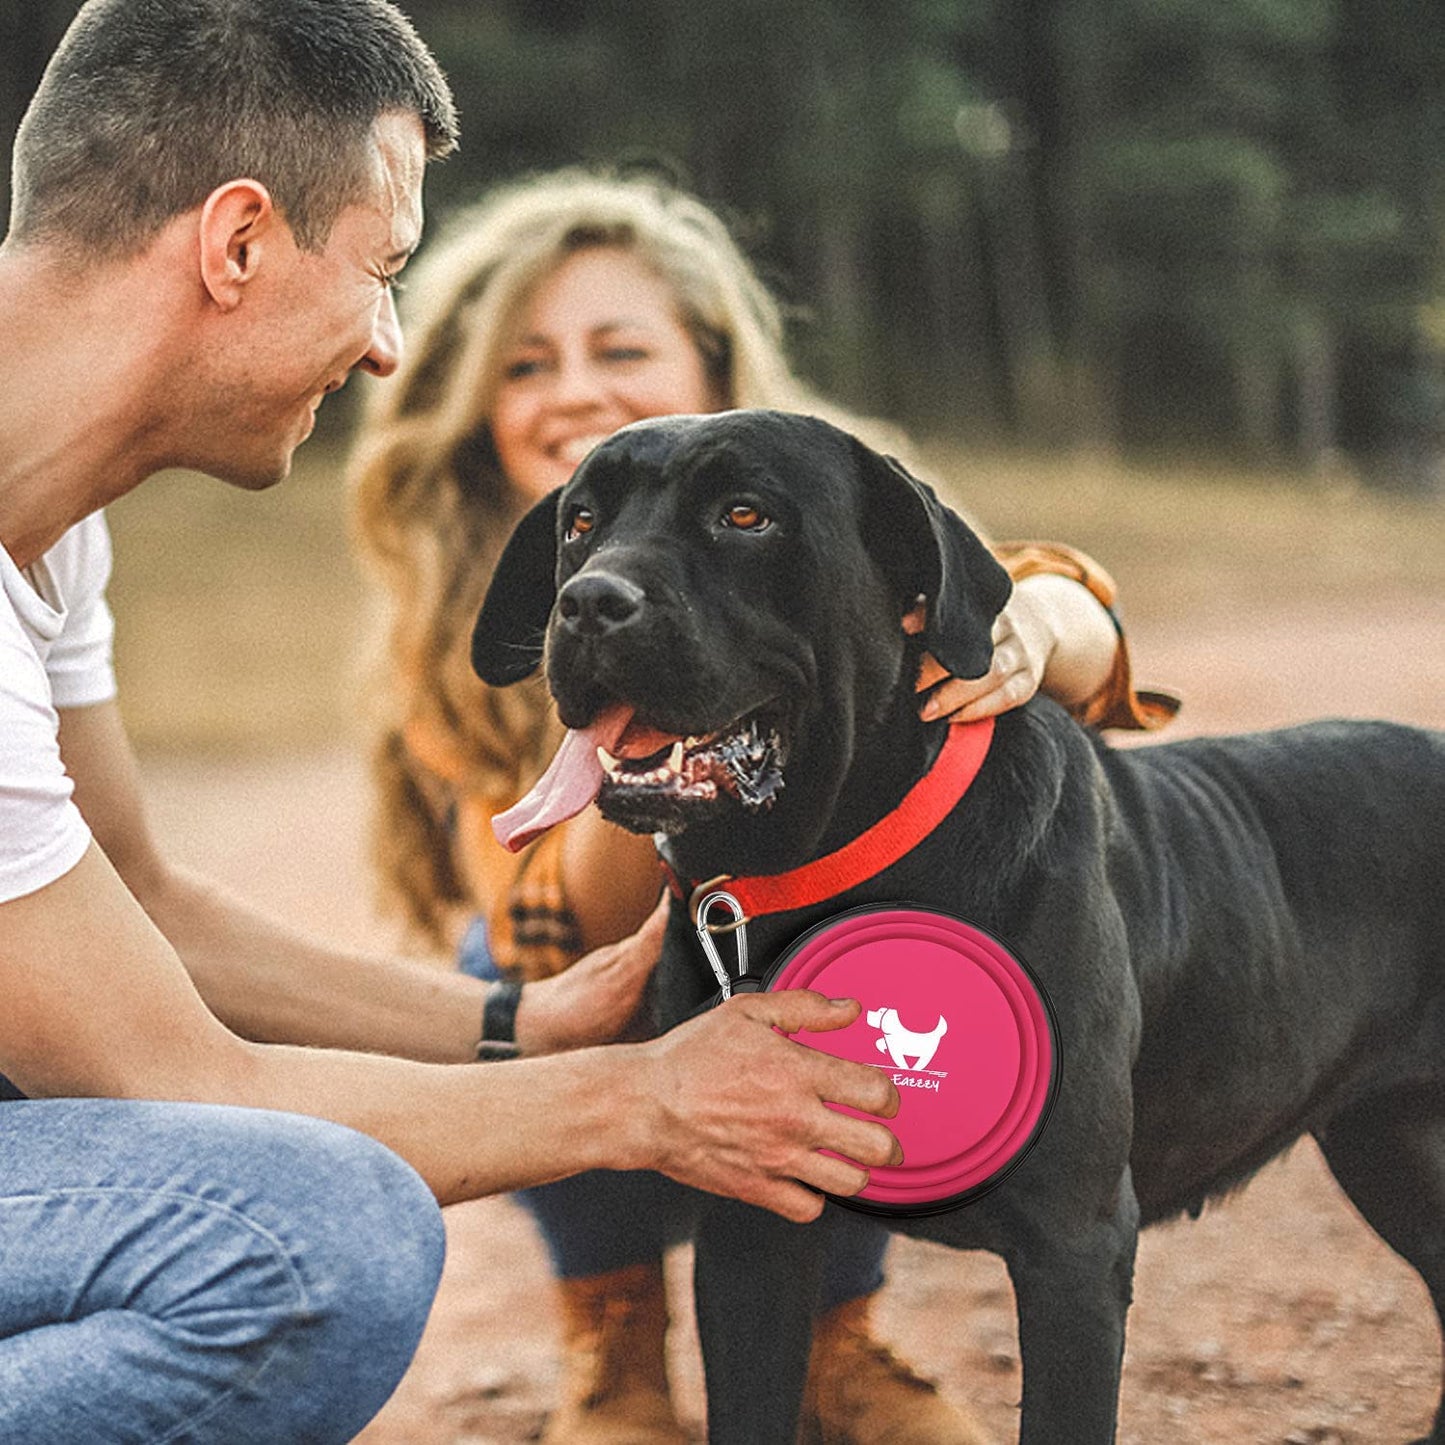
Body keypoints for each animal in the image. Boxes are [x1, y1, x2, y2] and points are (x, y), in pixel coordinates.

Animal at [473, 410, 1445, 1445]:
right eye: (580, 521)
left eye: (745, 514)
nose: (586, 602)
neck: (827, 870)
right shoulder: (750, 1228)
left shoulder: (1074, 1246)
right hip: (1388, 1143)